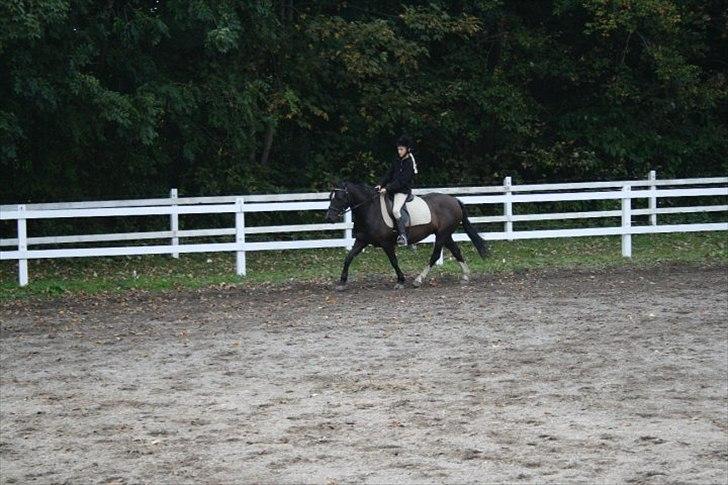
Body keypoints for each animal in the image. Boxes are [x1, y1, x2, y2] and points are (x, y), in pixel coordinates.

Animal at [324, 181, 490, 288]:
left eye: (339, 197)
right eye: (330, 197)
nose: (329, 218)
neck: (370, 209)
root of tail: (454, 200)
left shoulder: (386, 243)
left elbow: (393, 261)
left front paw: (401, 280)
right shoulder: (361, 240)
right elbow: (348, 257)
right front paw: (342, 282)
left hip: (442, 235)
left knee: (435, 255)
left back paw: (419, 280)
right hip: (445, 234)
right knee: (456, 251)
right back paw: (465, 276)